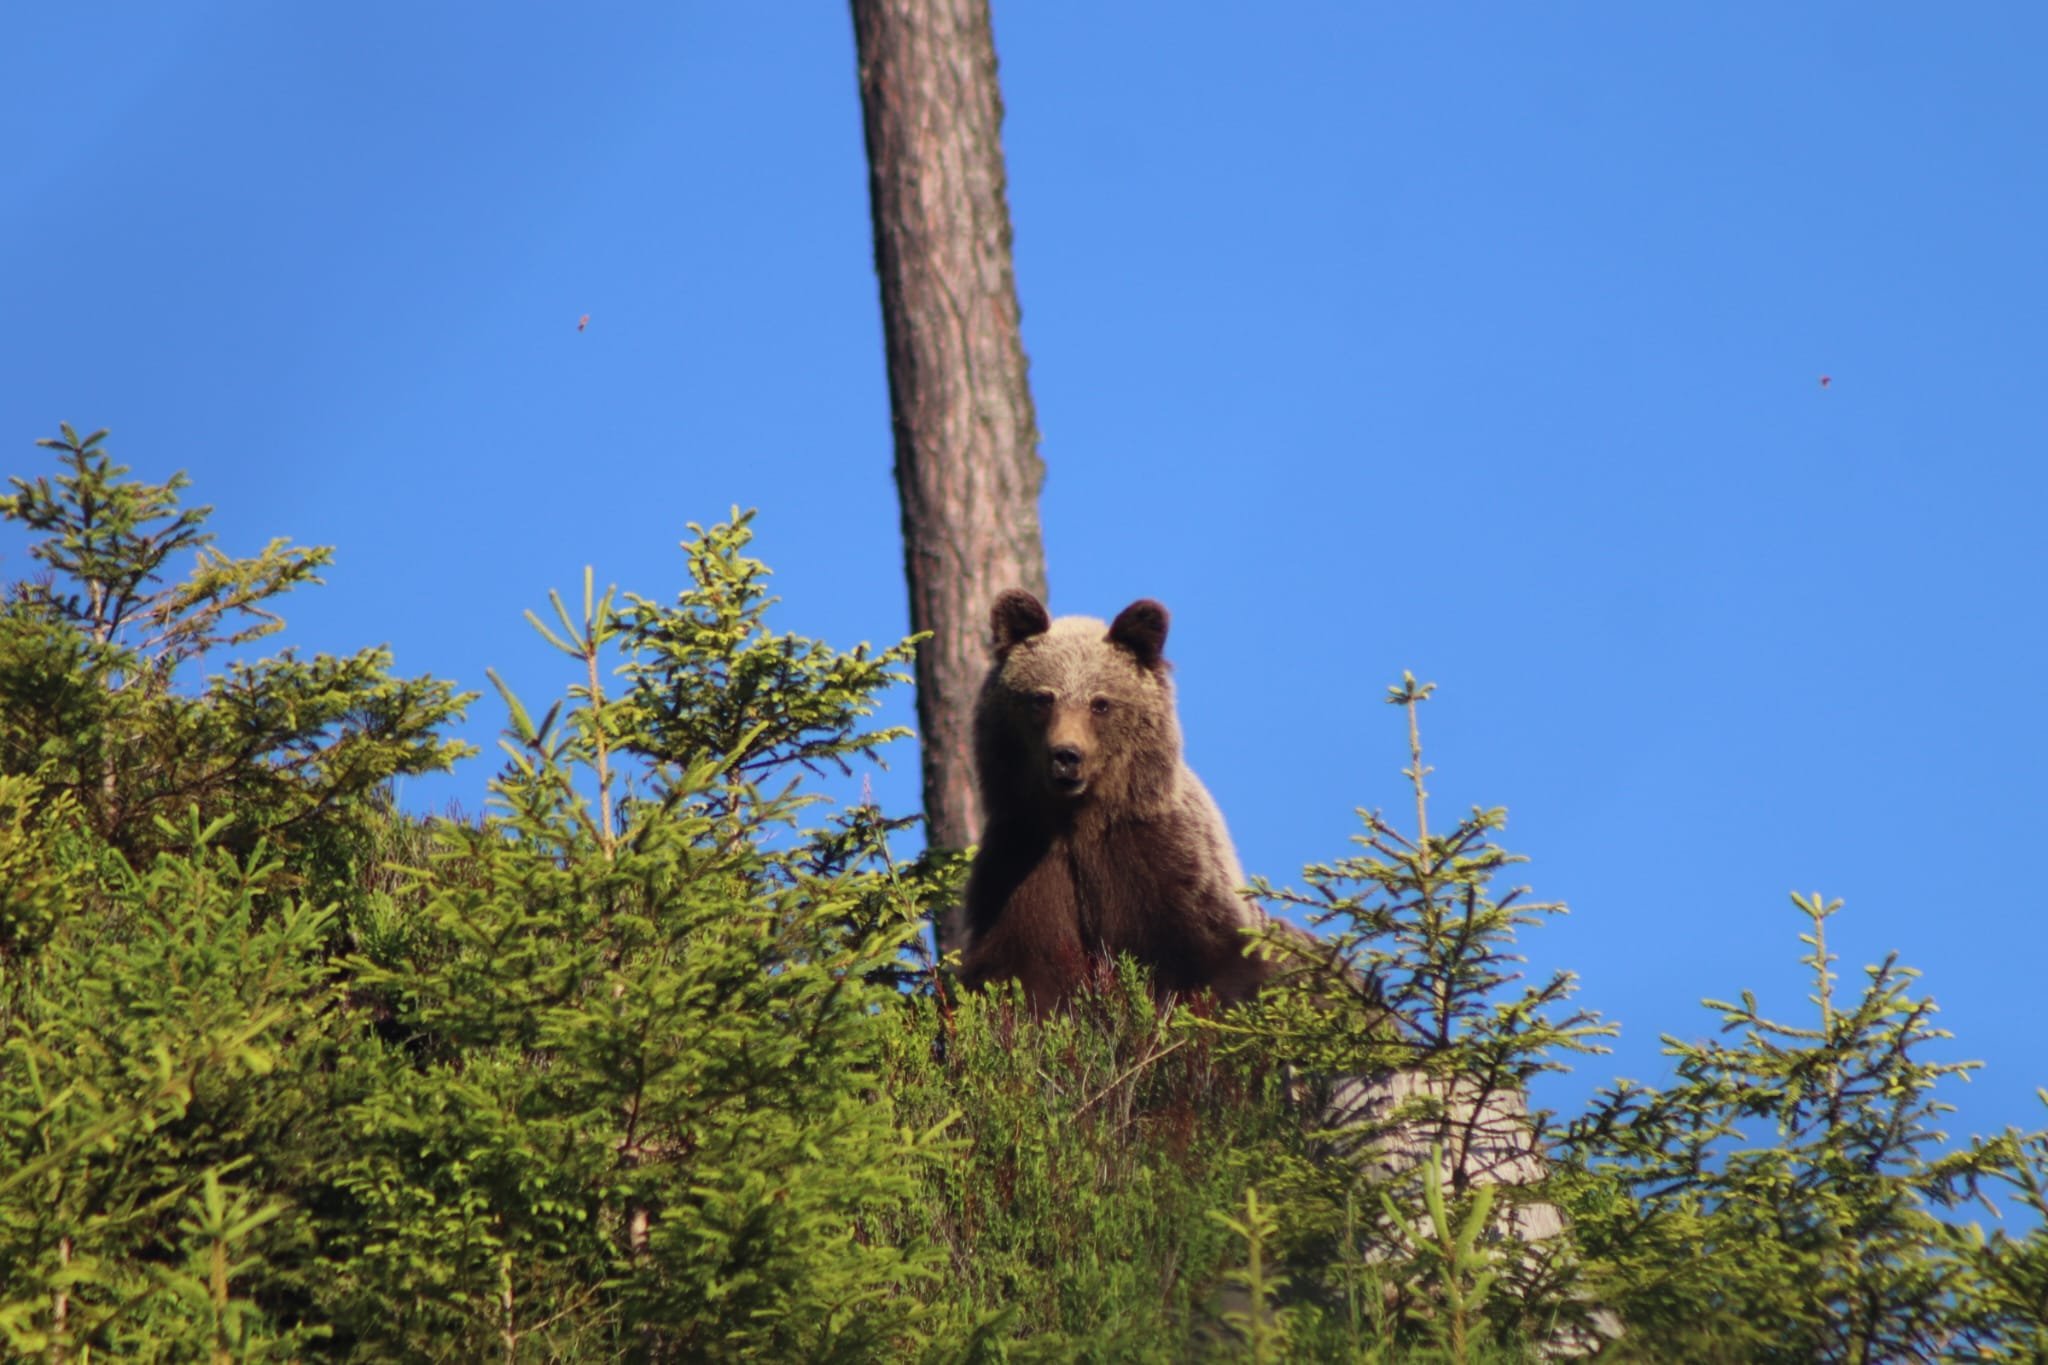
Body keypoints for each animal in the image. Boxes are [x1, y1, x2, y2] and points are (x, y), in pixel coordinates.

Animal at [956, 589, 1269, 1013]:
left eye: (1100, 703)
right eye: (1042, 698)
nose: (1066, 755)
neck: (1078, 820)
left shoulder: (1158, 865)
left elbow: (1207, 966)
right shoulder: (1020, 867)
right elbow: (1019, 976)